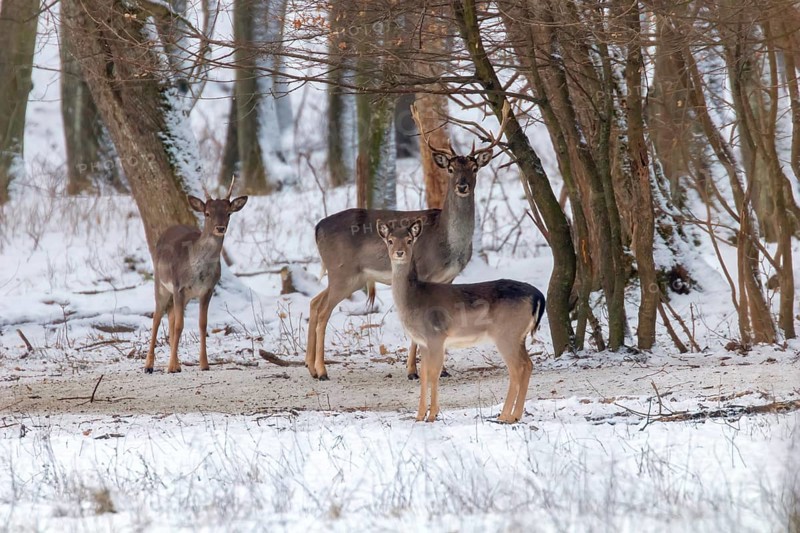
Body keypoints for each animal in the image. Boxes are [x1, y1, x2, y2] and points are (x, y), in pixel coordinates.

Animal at [144, 177, 248, 374]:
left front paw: (204, 364)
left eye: (228, 213)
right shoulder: (179, 286)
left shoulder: (207, 290)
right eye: (207, 213)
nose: (220, 228)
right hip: (161, 284)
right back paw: (149, 366)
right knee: (157, 317)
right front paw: (170, 367)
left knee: (170, 316)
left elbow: (202, 324)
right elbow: (179, 325)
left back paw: (177, 364)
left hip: (181, 296)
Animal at [306, 103, 510, 380]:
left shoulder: (449, 278)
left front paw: (442, 370)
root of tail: (317, 227)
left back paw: (310, 366)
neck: (448, 242)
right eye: (450, 169)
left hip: (350, 276)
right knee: (323, 310)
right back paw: (322, 370)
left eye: (474, 168)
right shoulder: (424, 272)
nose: (462, 186)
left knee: (314, 303)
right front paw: (413, 371)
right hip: (342, 272)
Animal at [378, 217, 545, 423]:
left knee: (516, 369)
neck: (414, 300)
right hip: (518, 336)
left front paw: (432, 415)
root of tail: (537, 296)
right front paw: (419, 416)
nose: (399, 253)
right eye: (390, 240)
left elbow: (434, 374)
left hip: (507, 334)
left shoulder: (436, 336)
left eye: (409, 240)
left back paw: (505, 416)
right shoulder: (423, 342)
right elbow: (424, 375)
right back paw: (514, 415)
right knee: (528, 364)